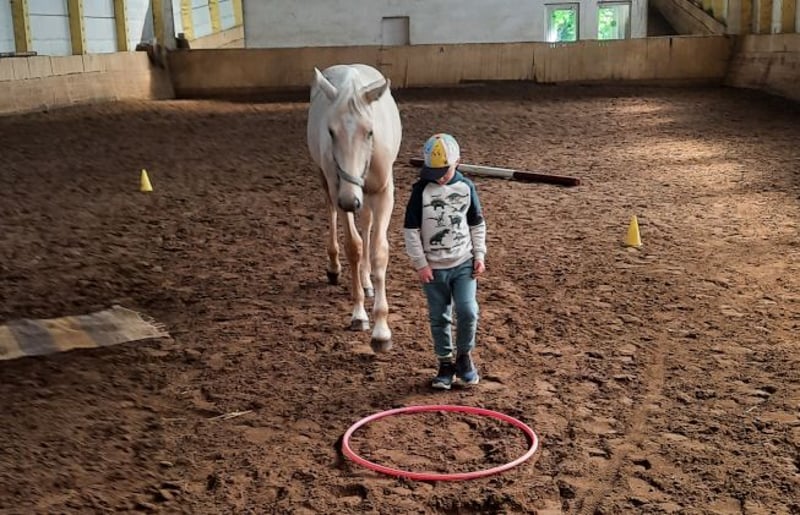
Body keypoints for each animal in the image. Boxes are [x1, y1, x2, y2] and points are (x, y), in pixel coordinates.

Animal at [306, 64, 402, 353]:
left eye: (369, 132)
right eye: (331, 132)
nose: (350, 201)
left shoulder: (383, 193)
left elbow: (379, 251)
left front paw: (382, 330)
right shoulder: (341, 191)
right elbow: (354, 246)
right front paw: (359, 314)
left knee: (368, 222)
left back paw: (367, 280)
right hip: (327, 182)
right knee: (332, 213)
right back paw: (335, 269)